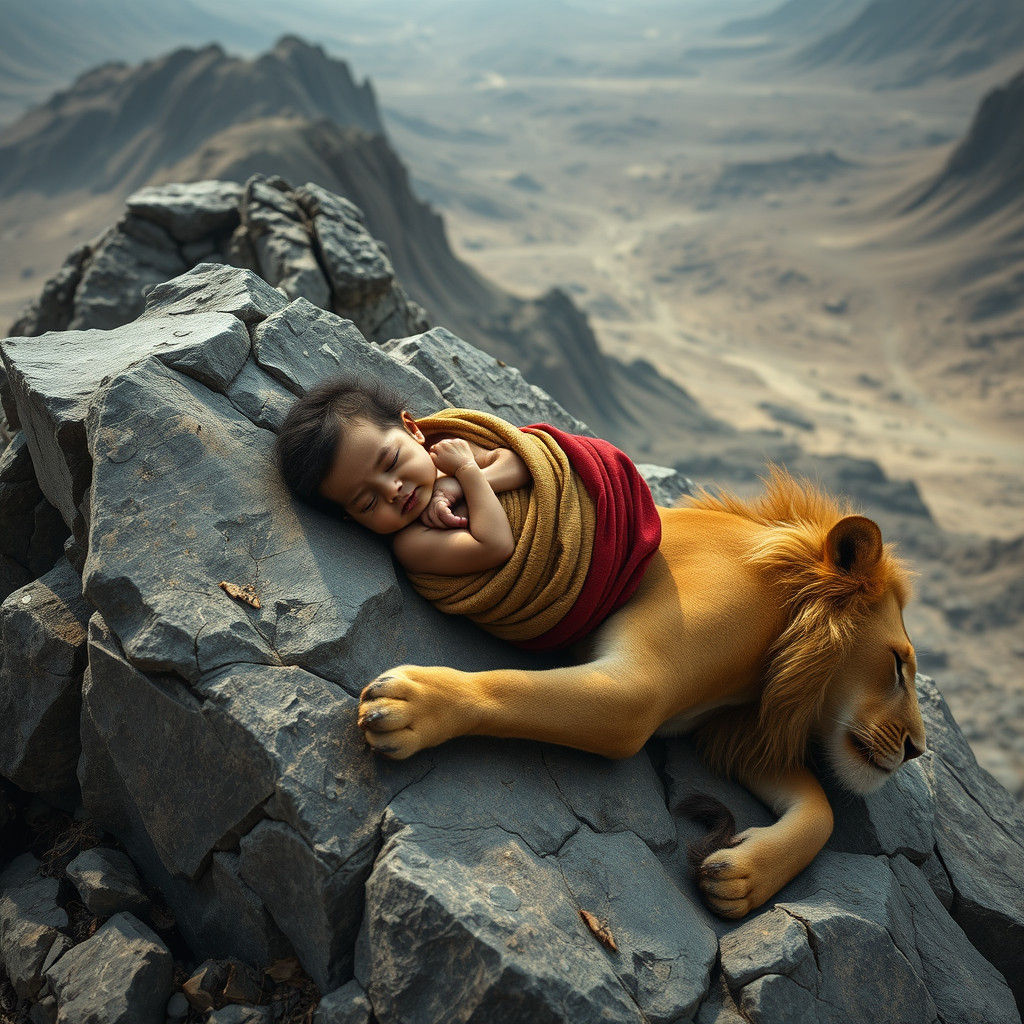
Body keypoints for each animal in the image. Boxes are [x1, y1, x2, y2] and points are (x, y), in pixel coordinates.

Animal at [357, 467, 927, 918]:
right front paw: (413, 702)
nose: (917, 750)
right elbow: (509, 688)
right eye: (899, 666)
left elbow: (821, 812)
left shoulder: (722, 730)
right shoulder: (641, 686)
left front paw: (742, 876)